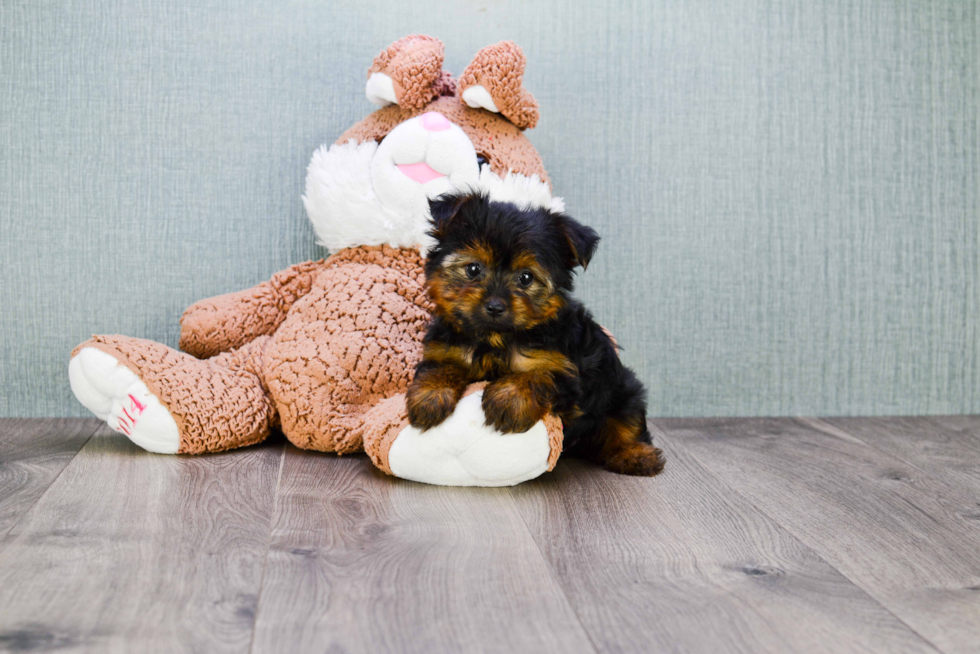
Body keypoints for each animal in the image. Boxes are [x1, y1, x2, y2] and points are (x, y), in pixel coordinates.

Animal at [406, 191, 668, 476]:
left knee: (628, 422)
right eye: (473, 269)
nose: (495, 306)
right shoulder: (446, 349)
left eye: (526, 278)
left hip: (622, 392)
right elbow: (440, 367)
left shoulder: (565, 370)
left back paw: (636, 455)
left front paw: (509, 399)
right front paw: (430, 396)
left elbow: (536, 374)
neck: (496, 338)